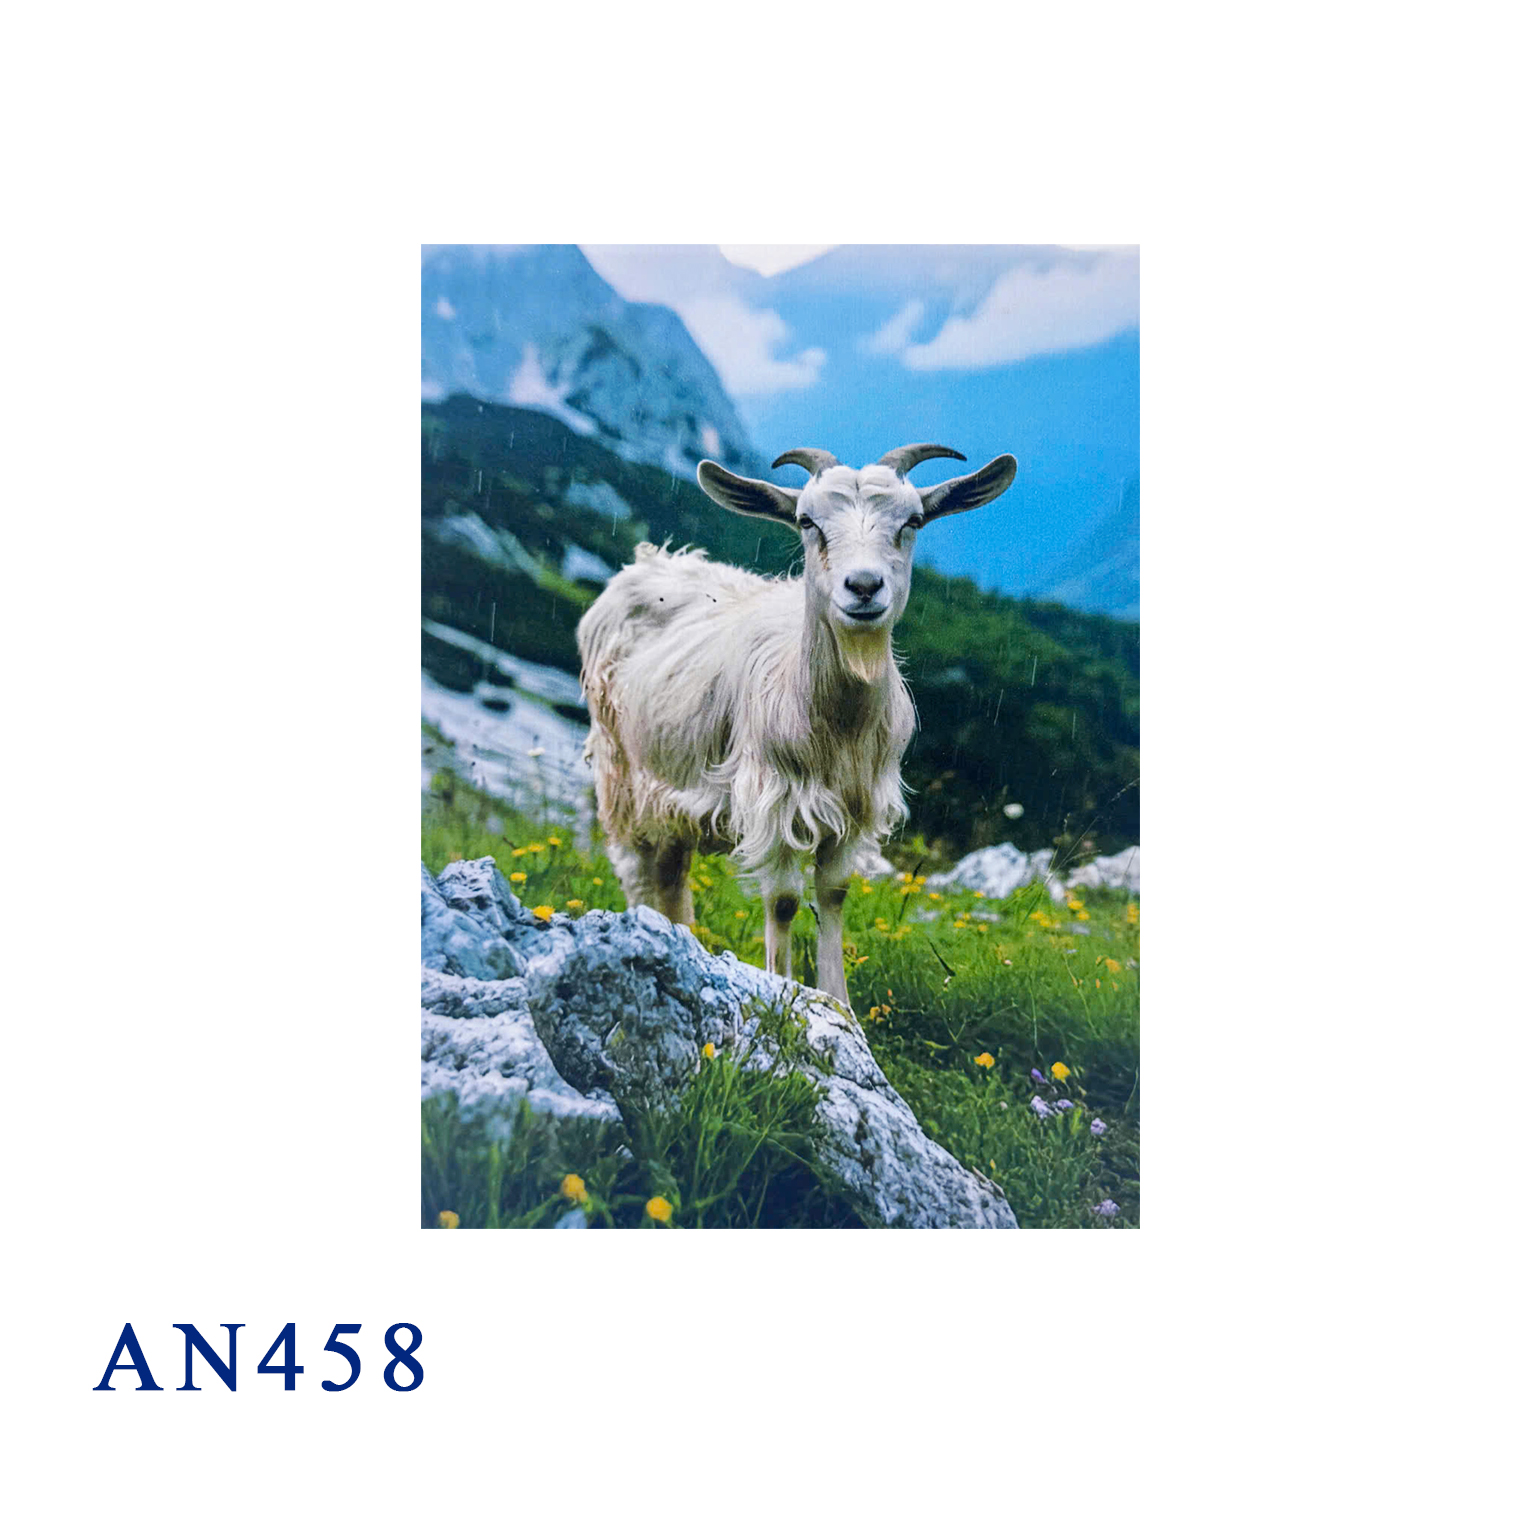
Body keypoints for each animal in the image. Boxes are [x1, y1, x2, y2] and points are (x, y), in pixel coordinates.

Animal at [575, 443, 1017, 1010]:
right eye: (808, 522)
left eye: (913, 521)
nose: (864, 586)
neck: (836, 724)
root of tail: (652, 559)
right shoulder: (773, 798)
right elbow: (784, 900)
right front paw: (782, 990)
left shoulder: (858, 806)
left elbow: (833, 894)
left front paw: (839, 1003)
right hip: (620, 772)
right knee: (636, 868)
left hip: (673, 794)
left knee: (671, 874)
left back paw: (681, 941)